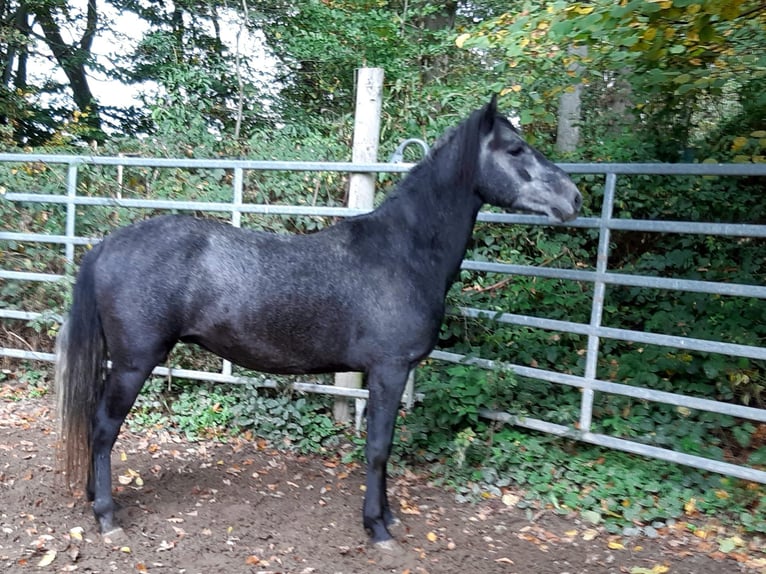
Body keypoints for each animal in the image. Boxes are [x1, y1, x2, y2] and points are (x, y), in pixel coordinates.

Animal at [54, 95, 582, 549]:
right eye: (515, 149)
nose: (574, 198)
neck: (402, 253)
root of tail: (106, 246)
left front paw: (388, 517)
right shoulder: (389, 370)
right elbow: (378, 448)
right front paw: (378, 529)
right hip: (134, 362)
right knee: (103, 428)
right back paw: (106, 515)